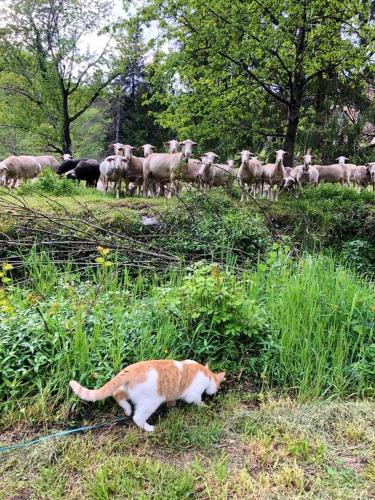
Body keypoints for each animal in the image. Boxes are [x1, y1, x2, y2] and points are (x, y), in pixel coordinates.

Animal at [69, 360, 225, 430]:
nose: (215, 392)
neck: (206, 374)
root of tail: (131, 368)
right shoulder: (193, 395)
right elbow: (197, 401)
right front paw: (205, 406)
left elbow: (172, 400)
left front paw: (172, 406)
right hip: (151, 401)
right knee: (137, 417)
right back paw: (149, 428)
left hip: (128, 390)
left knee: (116, 394)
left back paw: (127, 409)